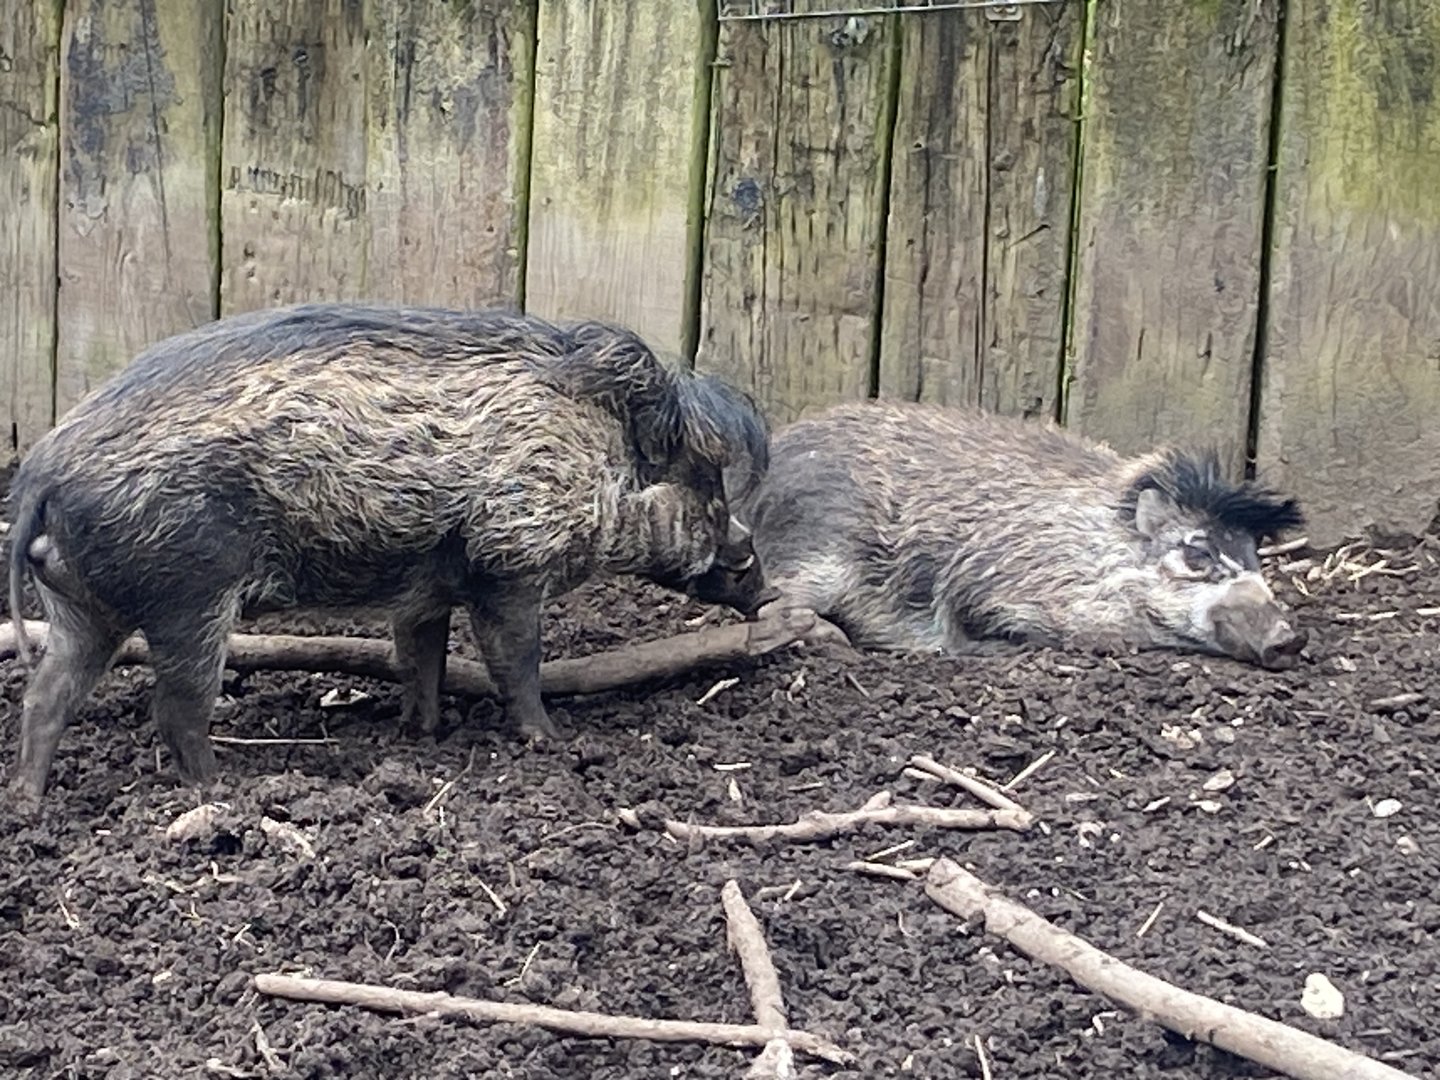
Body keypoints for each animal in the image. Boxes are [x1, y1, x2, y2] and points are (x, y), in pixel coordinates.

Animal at [6, 302, 772, 799]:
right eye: (703, 482)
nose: (764, 585)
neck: (594, 455)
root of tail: (43, 470)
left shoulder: (427, 587)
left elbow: (421, 659)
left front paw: (420, 735)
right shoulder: (509, 561)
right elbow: (516, 660)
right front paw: (551, 742)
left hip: (81, 607)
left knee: (45, 699)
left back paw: (32, 803)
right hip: (187, 595)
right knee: (177, 708)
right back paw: (226, 794)